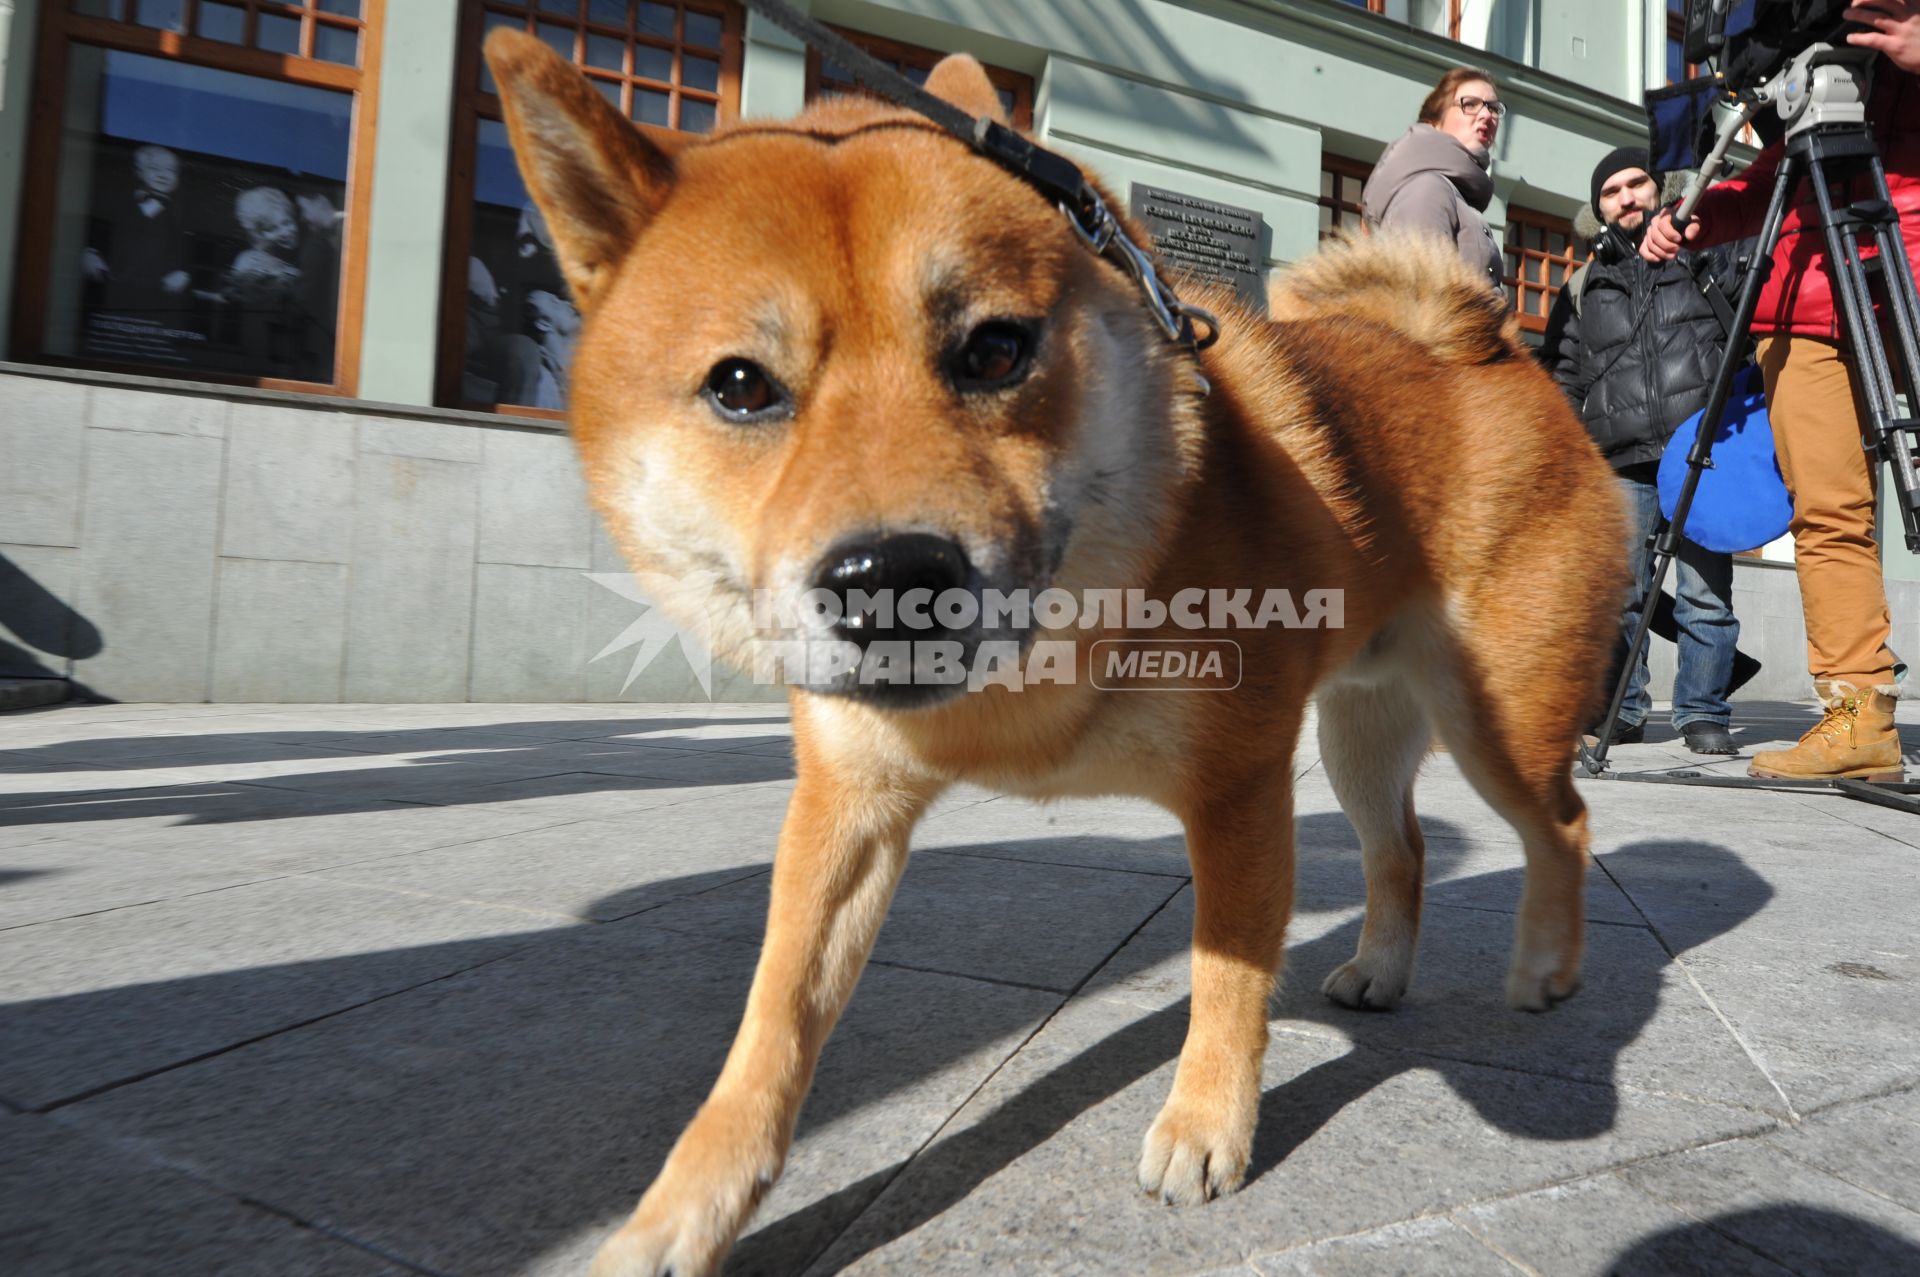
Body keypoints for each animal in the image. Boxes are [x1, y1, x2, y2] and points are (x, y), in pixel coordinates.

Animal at [487, 29, 1628, 1275]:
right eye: (740, 385)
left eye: (994, 349)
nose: (892, 579)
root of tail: (1497, 353)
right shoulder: (844, 805)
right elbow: (773, 1024)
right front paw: (683, 1210)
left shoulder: (1238, 787)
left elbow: (1226, 973)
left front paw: (1206, 1124)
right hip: (1359, 735)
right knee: (1407, 849)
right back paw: (1382, 968)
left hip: (1495, 719)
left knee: (1562, 825)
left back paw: (1548, 964)